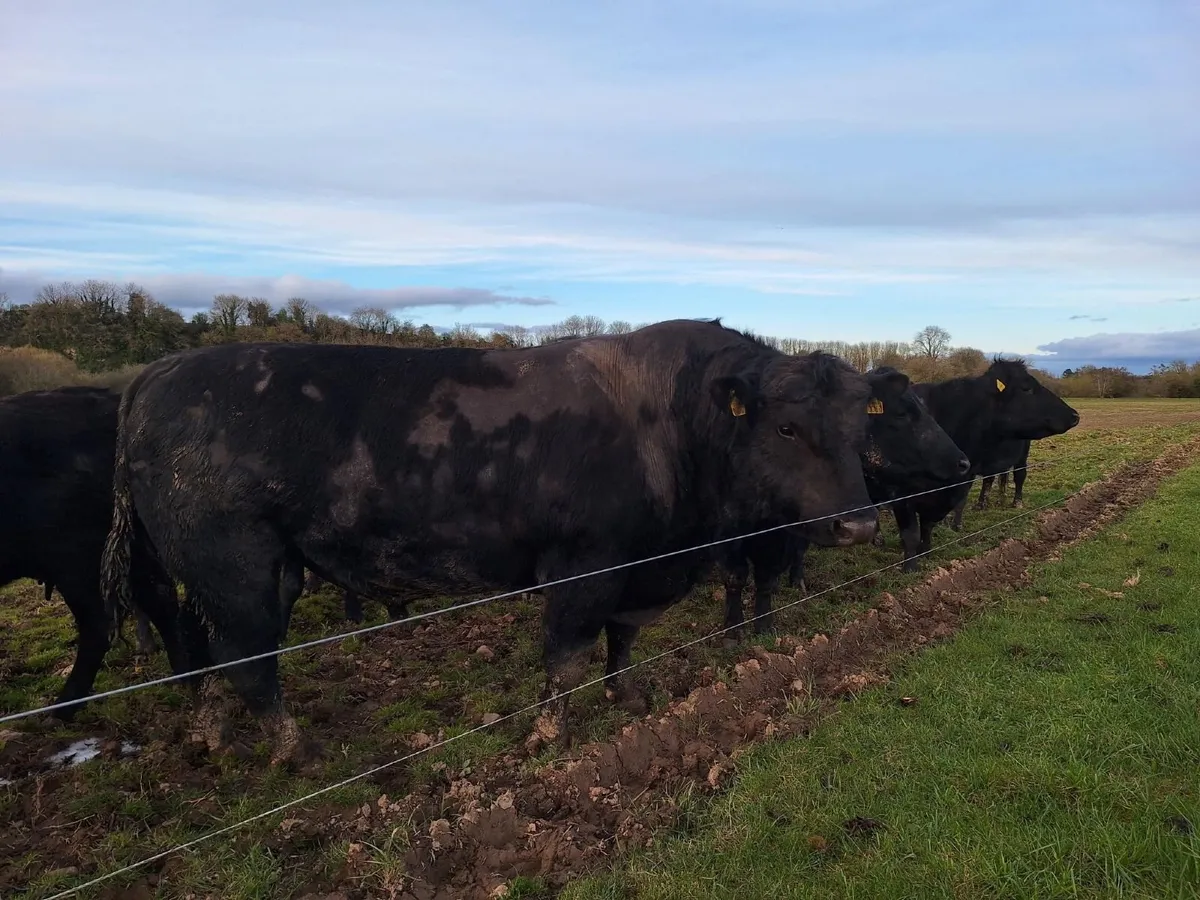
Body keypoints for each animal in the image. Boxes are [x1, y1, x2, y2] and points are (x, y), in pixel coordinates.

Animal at [101, 319, 880, 764]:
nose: (860, 523)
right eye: (786, 427)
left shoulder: (640, 566)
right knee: (246, 659)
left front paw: (627, 697)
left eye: (857, 424)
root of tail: (159, 372)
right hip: (238, 567)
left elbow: (622, 639)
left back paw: (214, 736)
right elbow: (566, 655)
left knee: (204, 652)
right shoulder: (585, 564)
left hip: (236, 574)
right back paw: (298, 751)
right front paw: (549, 735)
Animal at [883, 359, 1078, 572]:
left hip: (1022, 455)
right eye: (1026, 388)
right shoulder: (902, 493)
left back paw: (1014, 501)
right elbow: (911, 533)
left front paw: (927, 548)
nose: (1074, 415)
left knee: (1018, 476)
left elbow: (930, 522)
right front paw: (911, 566)